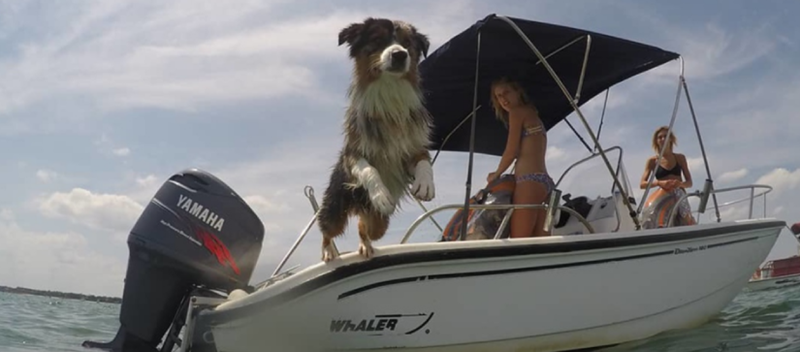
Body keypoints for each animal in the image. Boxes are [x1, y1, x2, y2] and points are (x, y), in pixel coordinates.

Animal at [316, 17, 434, 262]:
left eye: (407, 44)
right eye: (378, 40)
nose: (399, 55)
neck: (389, 91)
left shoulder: (411, 147)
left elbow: (423, 159)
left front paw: (426, 184)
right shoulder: (353, 153)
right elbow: (369, 169)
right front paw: (380, 195)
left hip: (378, 221)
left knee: (365, 227)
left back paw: (365, 246)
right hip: (335, 209)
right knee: (327, 230)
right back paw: (328, 251)